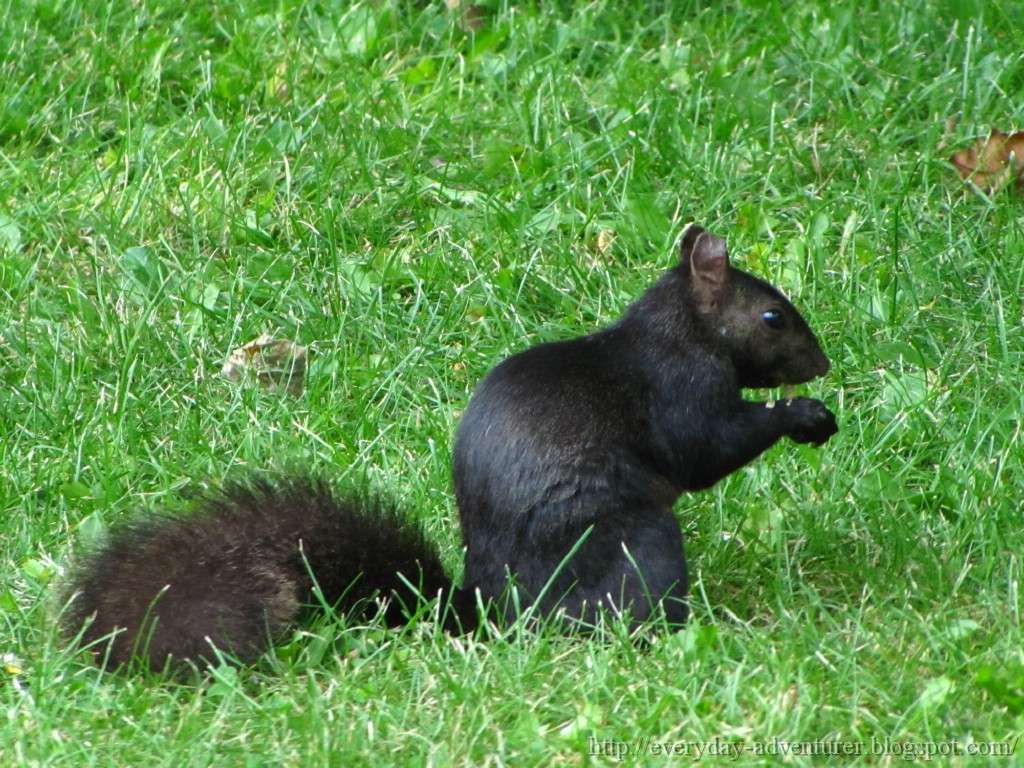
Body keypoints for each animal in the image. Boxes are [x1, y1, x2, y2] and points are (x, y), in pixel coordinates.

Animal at [60, 224, 838, 671]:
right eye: (774, 316)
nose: (823, 363)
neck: (680, 328)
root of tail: (494, 612)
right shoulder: (680, 389)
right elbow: (705, 451)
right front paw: (802, 414)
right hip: (632, 539)